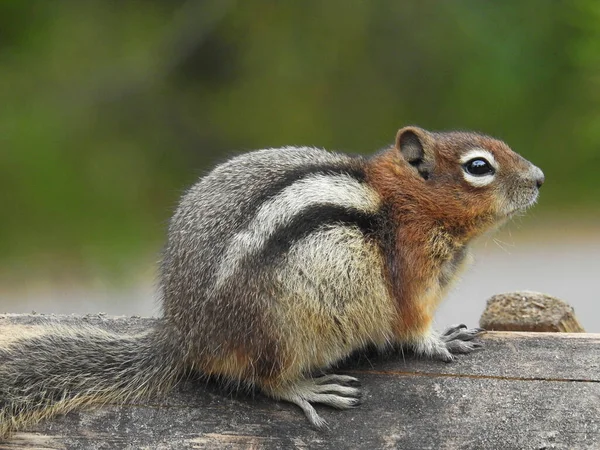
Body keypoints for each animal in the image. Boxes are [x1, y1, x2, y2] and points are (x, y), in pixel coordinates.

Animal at [0, 126, 544, 436]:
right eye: (479, 166)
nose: (540, 177)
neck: (402, 204)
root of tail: (187, 335)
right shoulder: (411, 276)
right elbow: (412, 327)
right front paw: (440, 341)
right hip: (284, 329)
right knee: (265, 379)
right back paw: (307, 389)